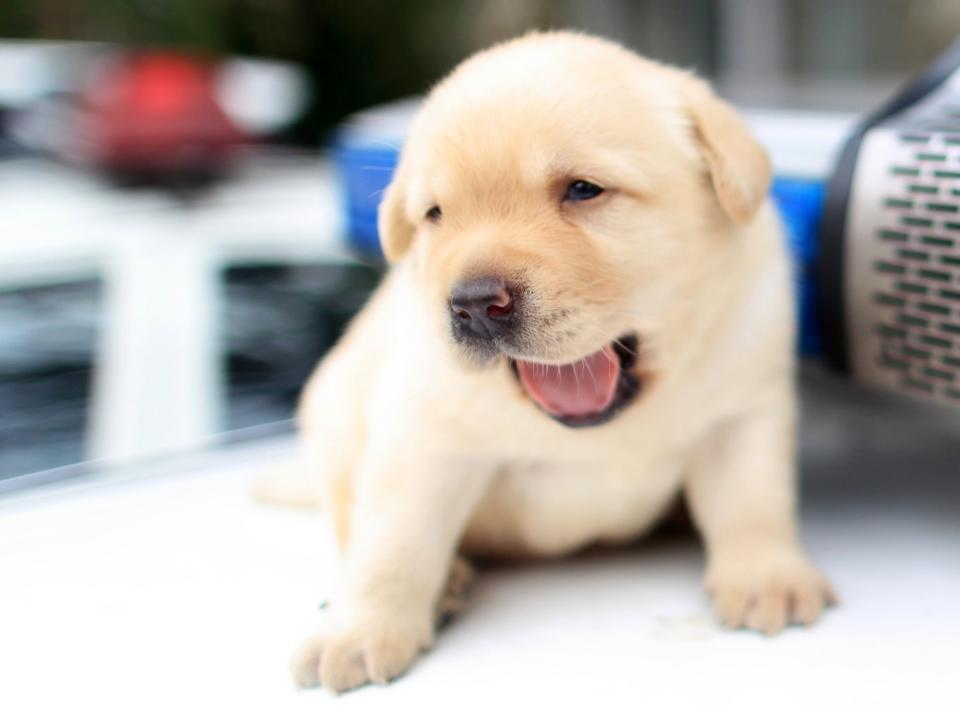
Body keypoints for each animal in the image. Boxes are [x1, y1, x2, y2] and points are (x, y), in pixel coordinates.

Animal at [284, 31, 832, 692]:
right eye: (435, 215)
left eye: (583, 190)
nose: (472, 304)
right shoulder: (421, 437)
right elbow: (392, 543)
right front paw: (359, 630)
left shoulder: (743, 411)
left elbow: (754, 502)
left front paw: (766, 576)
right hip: (334, 415)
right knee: (347, 514)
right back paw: (449, 579)